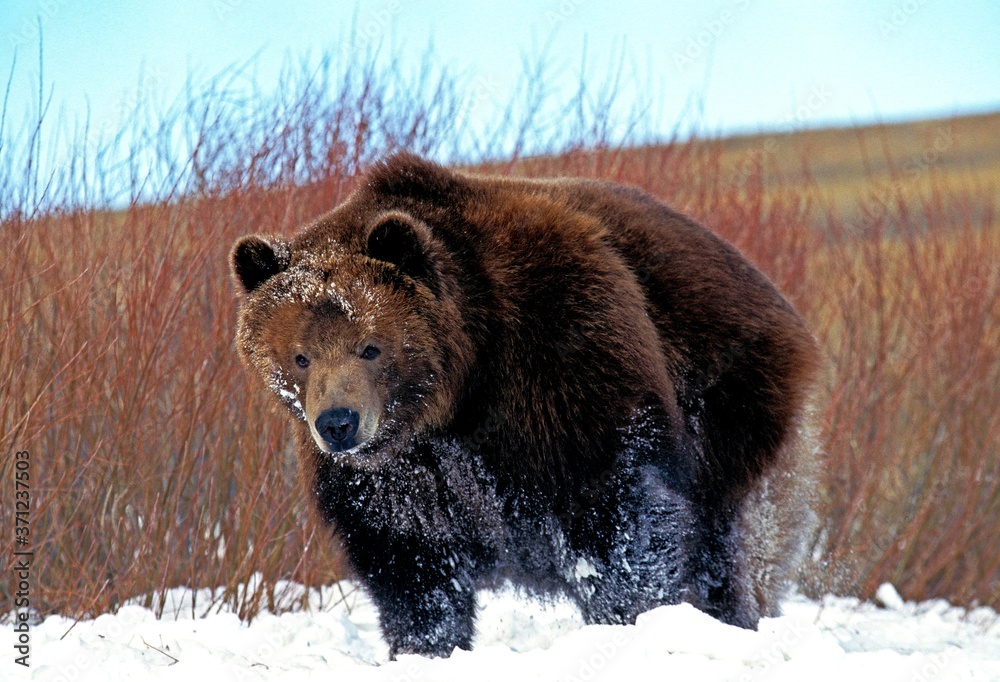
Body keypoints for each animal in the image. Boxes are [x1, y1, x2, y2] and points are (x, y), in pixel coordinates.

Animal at [229, 151, 820, 656]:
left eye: (370, 346)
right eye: (301, 356)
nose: (338, 423)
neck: (456, 395)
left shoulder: (564, 372)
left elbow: (621, 524)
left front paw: (628, 625)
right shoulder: (397, 482)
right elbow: (409, 566)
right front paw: (424, 647)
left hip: (728, 402)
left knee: (730, 546)